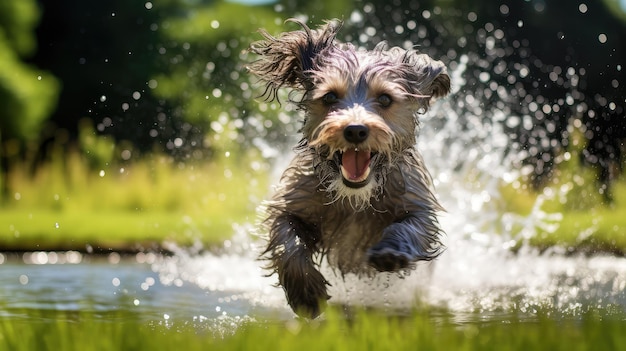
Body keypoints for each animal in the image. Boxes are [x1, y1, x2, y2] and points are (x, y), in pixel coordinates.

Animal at [247, 17, 448, 318]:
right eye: (330, 97)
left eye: (385, 99)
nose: (355, 130)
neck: (354, 198)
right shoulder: (294, 198)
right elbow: (286, 238)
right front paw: (305, 292)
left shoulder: (415, 198)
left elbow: (413, 225)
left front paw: (392, 250)